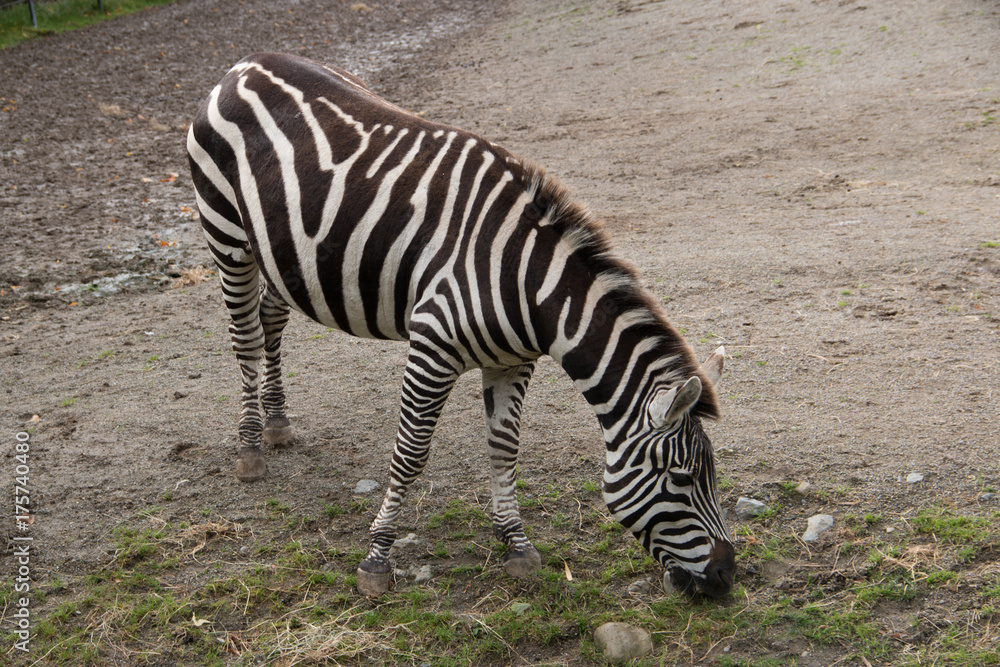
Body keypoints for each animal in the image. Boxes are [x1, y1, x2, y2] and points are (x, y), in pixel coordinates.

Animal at [187, 53, 736, 598]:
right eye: (683, 479)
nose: (727, 576)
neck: (527, 282)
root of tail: (246, 65)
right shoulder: (432, 348)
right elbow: (410, 454)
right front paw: (377, 557)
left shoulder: (513, 362)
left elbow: (504, 448)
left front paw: (515, 543)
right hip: (226, 234)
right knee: (245, 336)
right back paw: (251, 446)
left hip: (284, 254)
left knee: (272, 315)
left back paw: (278, 423)